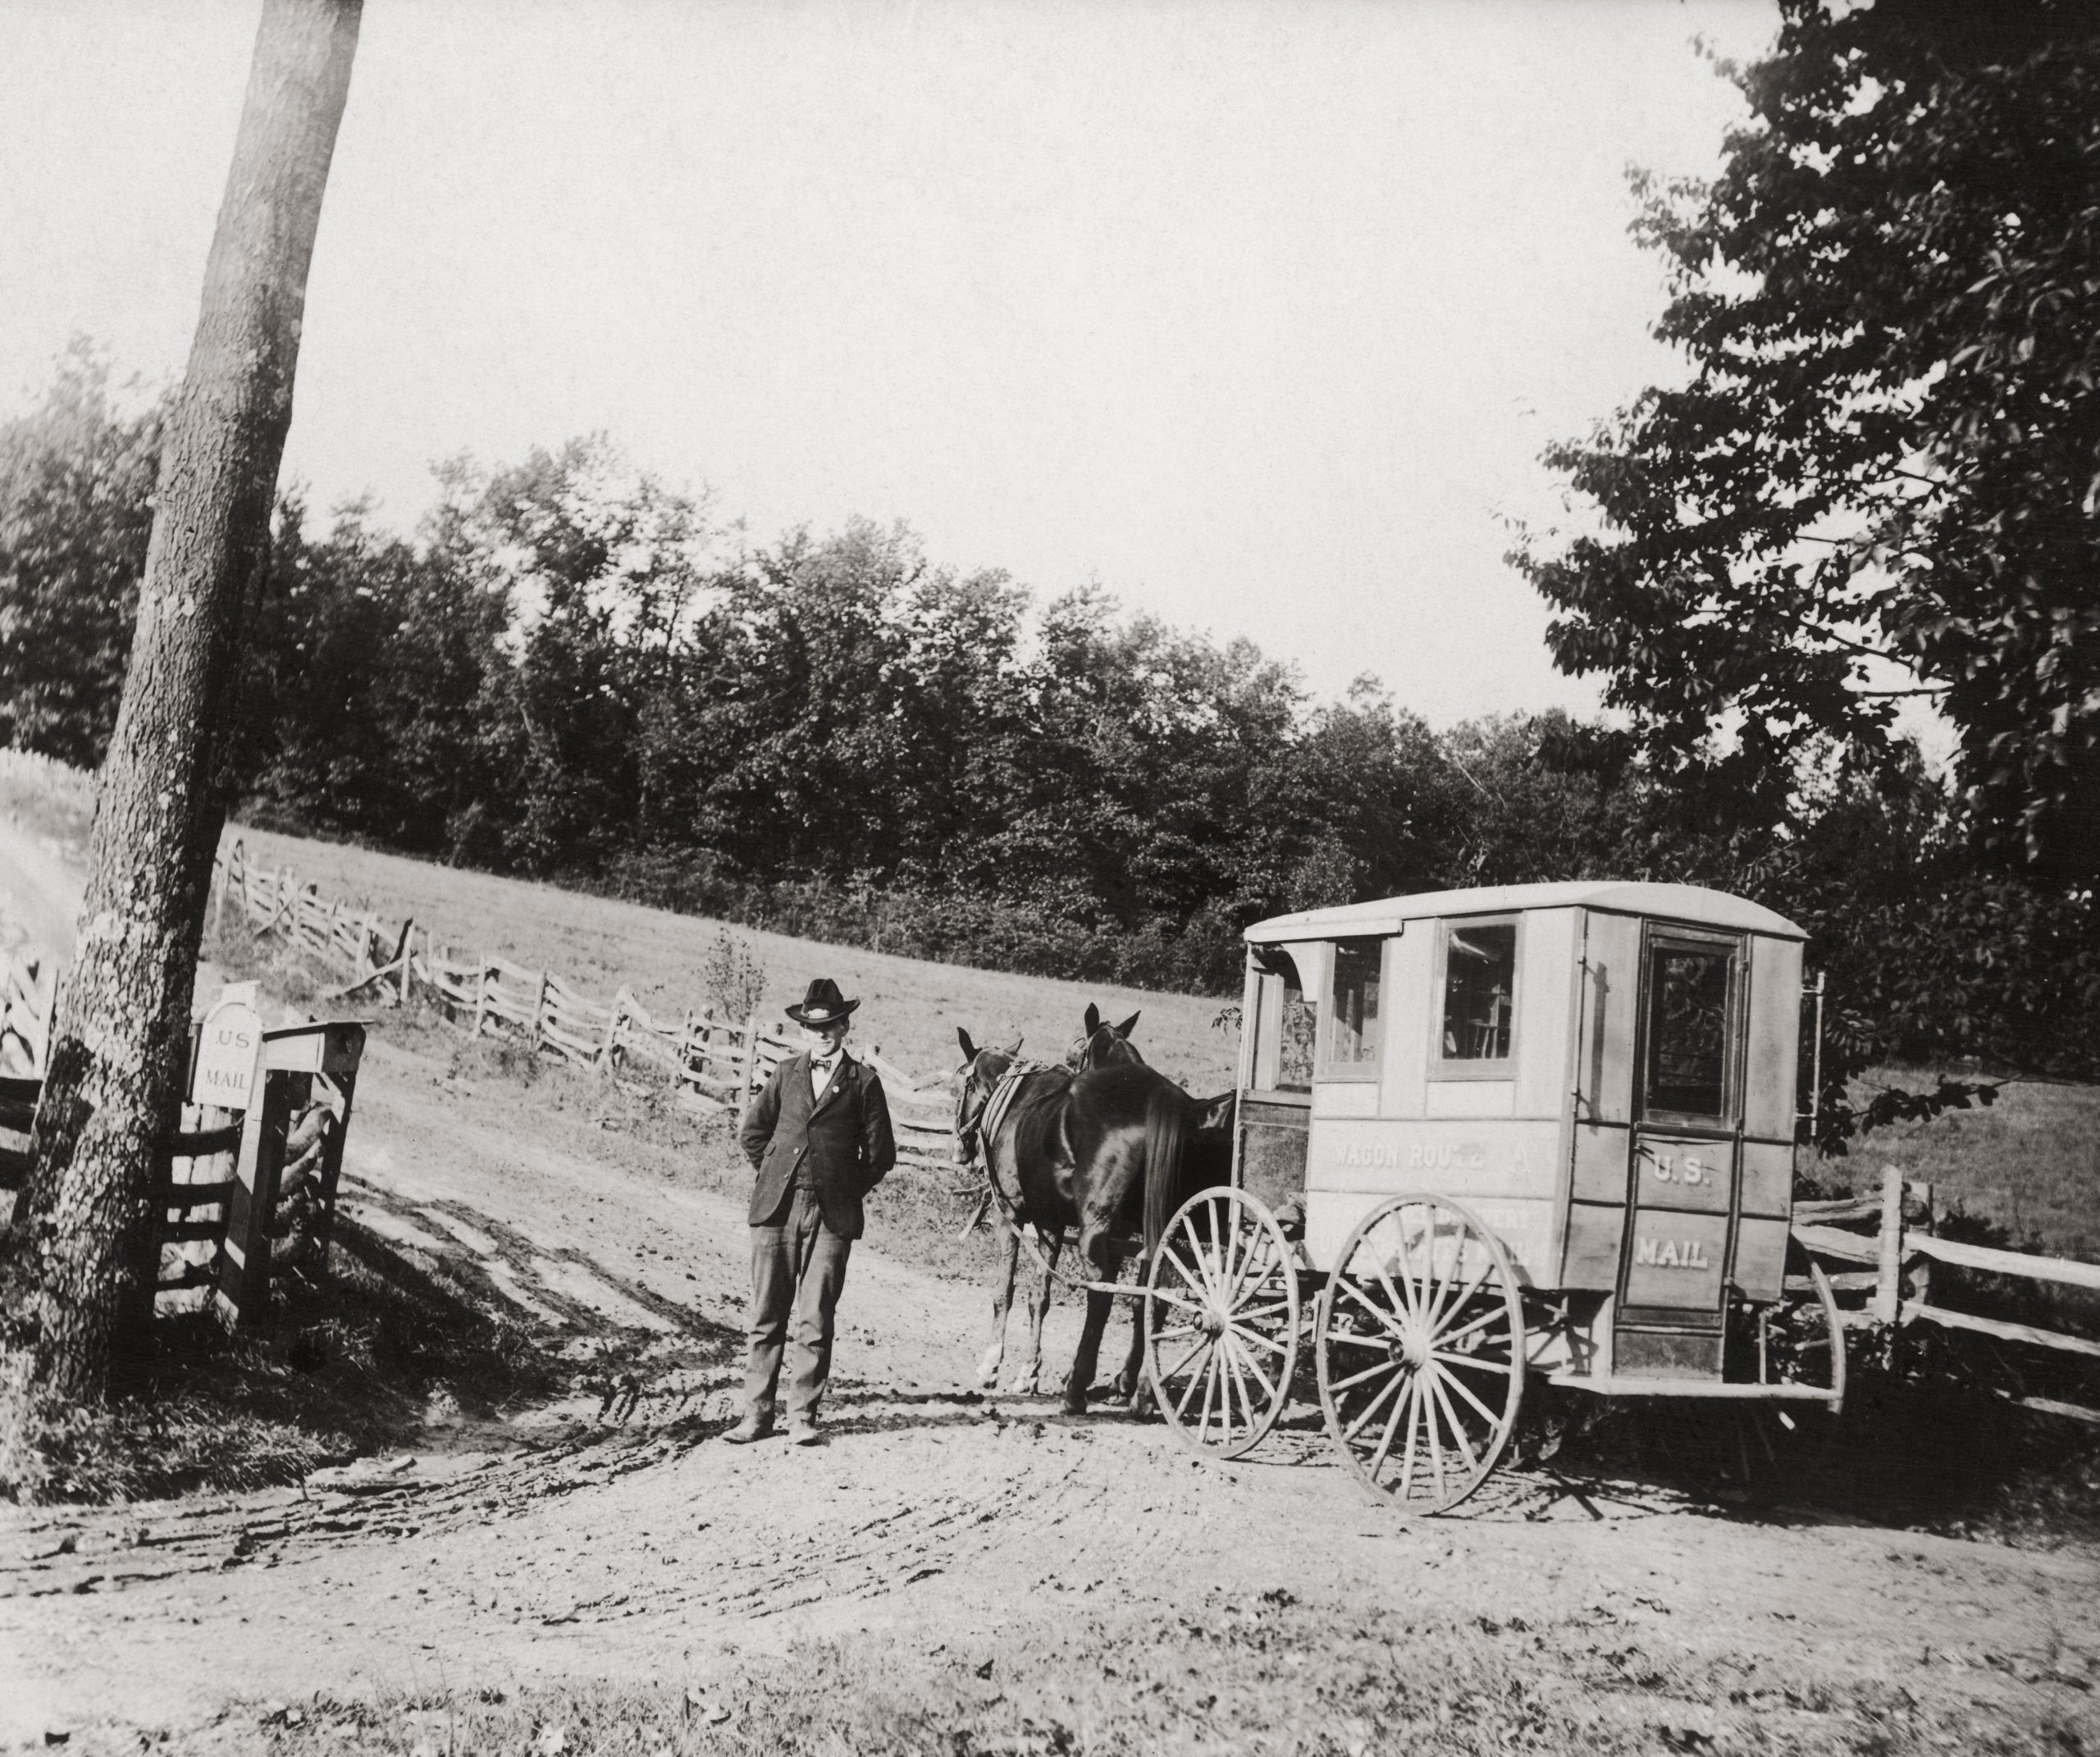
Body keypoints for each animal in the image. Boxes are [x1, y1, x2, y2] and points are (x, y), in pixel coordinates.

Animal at [957, 1028, 1226, 1410]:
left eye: (964, 1084)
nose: (960, 1147)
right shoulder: (1051, 1223)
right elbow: (1039, 1297)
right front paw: (1029, 1372)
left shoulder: (1009, 1215)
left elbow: (1004, 1291)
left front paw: (992, 1364)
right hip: (1162, 1228)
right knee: (1154, 1294)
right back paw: (1142, 1389)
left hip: (1096, 1229)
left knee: (1101, 1296)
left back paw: (1077, 1387)